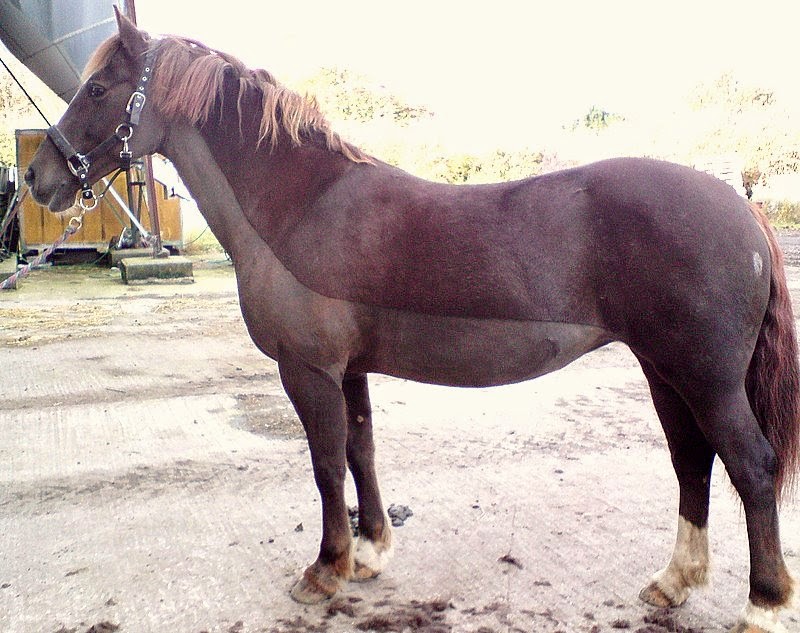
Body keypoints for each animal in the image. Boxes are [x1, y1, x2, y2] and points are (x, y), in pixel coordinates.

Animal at [24, 10, 798, 632]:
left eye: (99, 90)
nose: (38, 178)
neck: (303, 204)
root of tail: (745, 209)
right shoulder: (350, 369)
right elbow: (361, 451)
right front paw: (370, 553)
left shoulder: (307, 370)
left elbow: (326, 465)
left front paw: (325, 569)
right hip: (666, 371)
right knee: (692, 460)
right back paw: (673, 582)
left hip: (706, 379)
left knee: (751, 466)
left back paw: (762, 603)